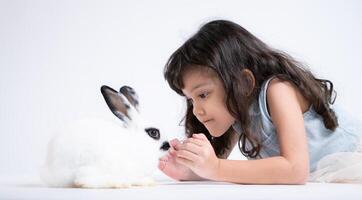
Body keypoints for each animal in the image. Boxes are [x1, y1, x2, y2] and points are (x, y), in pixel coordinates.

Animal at [40, 85, 170, 188]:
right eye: (153, 133)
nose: (168, 146)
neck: (137, 142)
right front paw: (145, 181)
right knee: (82, 180)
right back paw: (119, 183)